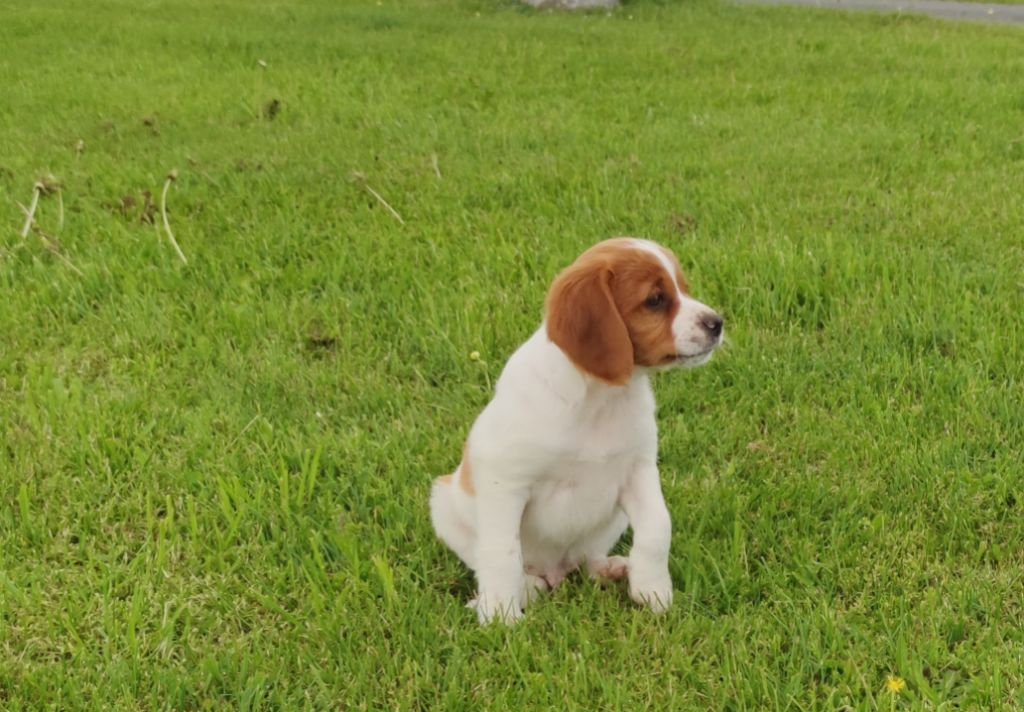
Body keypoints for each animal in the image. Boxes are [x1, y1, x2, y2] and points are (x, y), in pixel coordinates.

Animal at [430, 238, 724, 623]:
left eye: (683, 288)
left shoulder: (638, 470)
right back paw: (522, 589)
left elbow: (658, 527)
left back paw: (613, 568)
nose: (718, 323)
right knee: (510, 569)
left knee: (587, 560)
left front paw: (653, 592)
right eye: (655, 299)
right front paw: (499, 616)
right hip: (442, 502)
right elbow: (501, 553)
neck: (599, 398)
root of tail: (557, 571)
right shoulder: (504, 483)